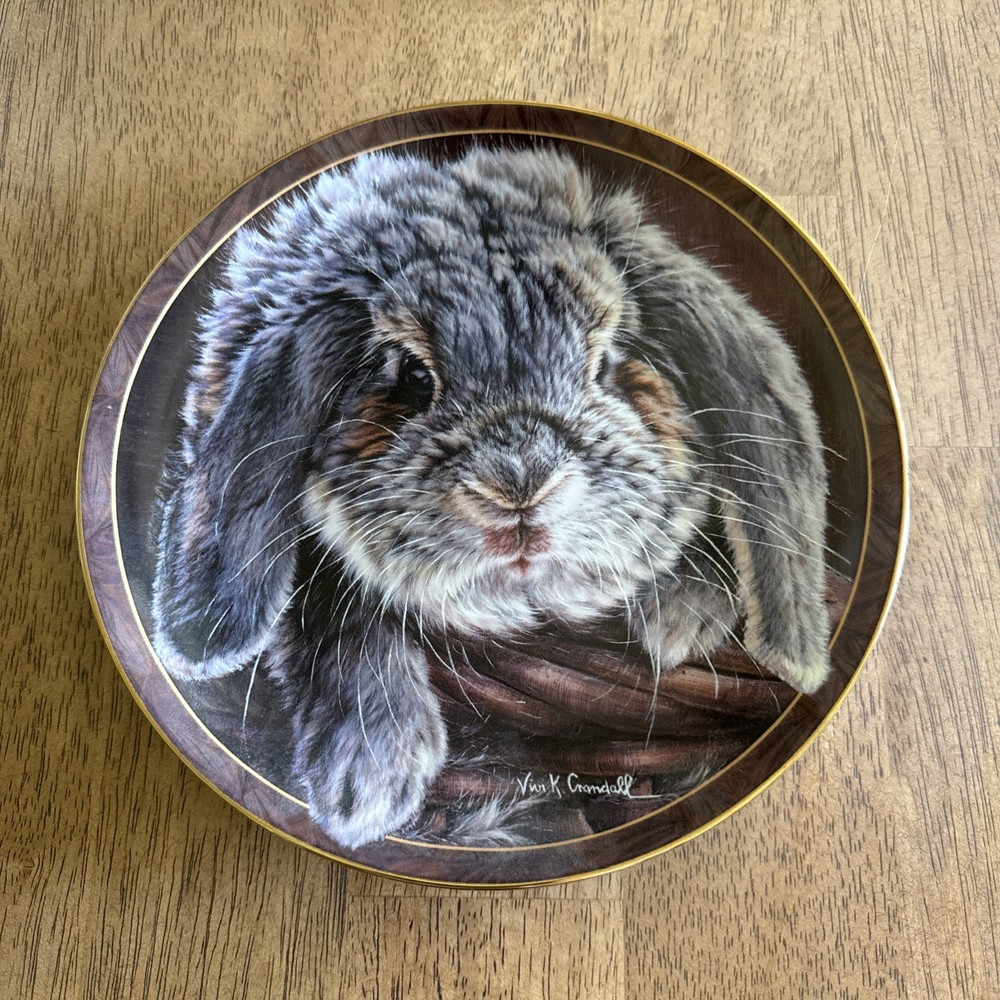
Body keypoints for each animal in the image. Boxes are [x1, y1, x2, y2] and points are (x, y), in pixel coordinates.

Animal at [151, 146, 831, 849]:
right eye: (412, 376)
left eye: (609, 361)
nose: (521, 484)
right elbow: (331, 600)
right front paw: (368, 779)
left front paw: (679, 617)